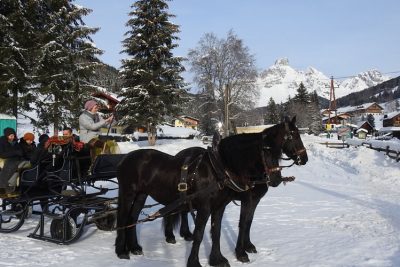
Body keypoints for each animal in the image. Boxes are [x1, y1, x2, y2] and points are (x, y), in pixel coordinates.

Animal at [114, 116, 308, 266]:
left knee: (134, 218)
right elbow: (204, 233)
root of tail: (125, 159)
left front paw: (218, 259)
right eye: (293, 136)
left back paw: (137, 247)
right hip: (128, 193)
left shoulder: (221, 206)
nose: (304, 159)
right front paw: (199, 261)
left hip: (142, 195)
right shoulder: (211, 206)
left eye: (278, 152)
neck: (220, 169)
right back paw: (122, 251)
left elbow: (219, 231)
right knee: (123, 218)